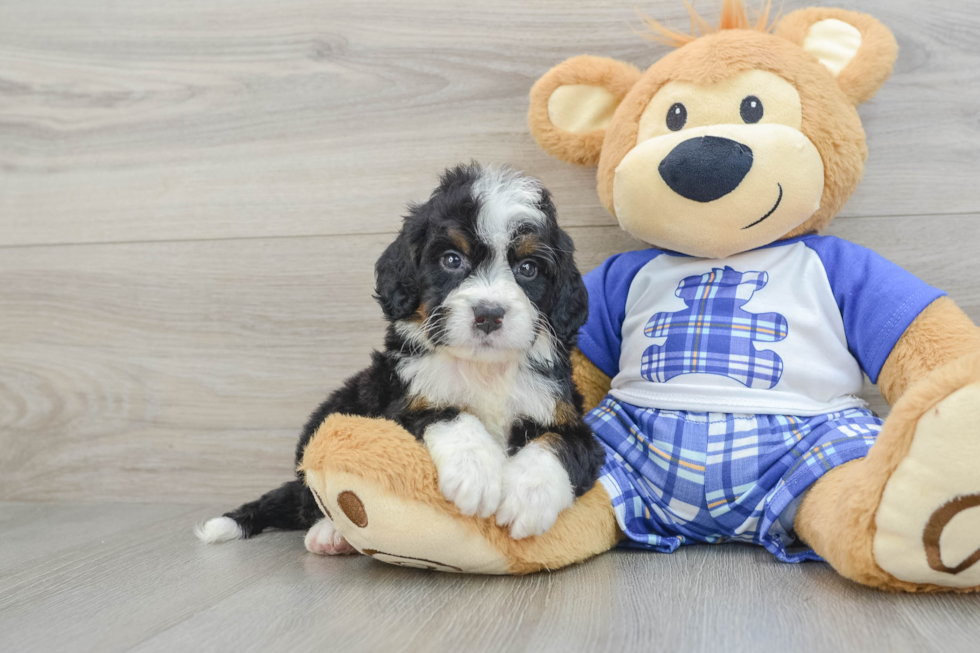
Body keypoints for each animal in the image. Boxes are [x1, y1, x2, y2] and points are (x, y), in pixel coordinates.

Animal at [195, 162, 600, 552]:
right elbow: (448, 412)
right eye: (452, 259)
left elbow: (558, 444)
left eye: (528, 268)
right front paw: (476, 472)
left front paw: (528, 496)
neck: (483, 369)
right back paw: (331, 533)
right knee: (312, 499)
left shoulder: (569, 419)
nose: (488, 313)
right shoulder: (399, 403)